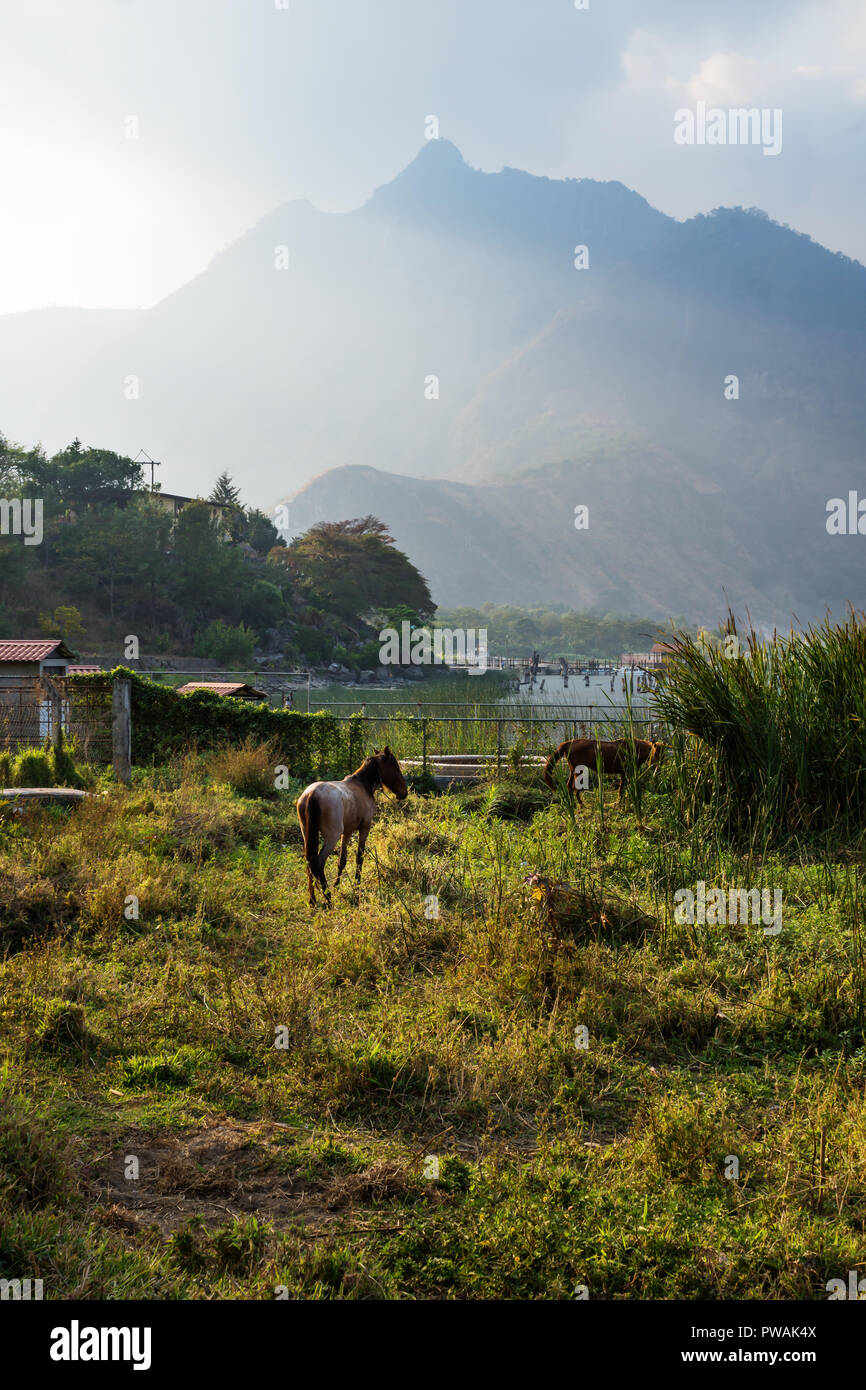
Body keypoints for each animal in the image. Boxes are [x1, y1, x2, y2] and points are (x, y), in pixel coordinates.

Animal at [296, 745, 408, 906]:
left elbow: (342, 860)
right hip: (332, 836)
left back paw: (312, 899)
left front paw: (337, 885)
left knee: (309, 863)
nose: (404, 792)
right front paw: (357, 886)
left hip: (307, 835)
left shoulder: (347, 832)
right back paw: (328, 898)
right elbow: (359, 858)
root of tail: (312, 795)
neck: (362, 785)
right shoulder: (365, 828)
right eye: (395, 767)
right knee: (318, 862)